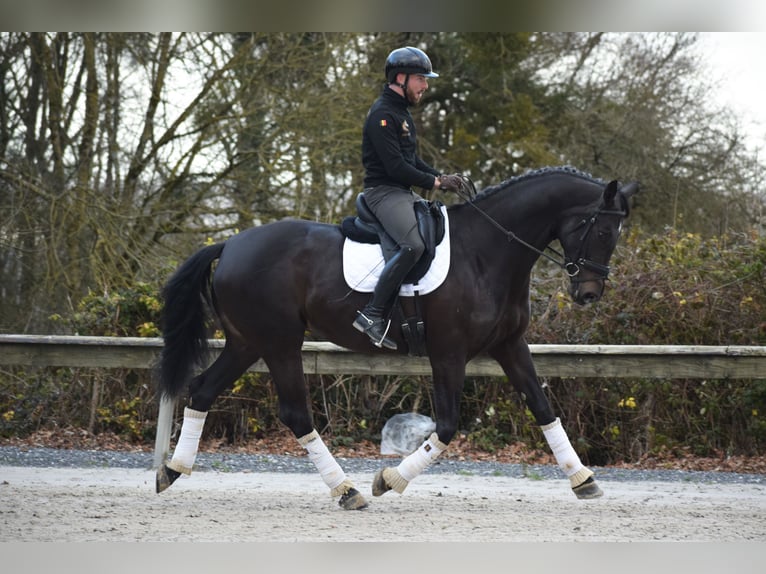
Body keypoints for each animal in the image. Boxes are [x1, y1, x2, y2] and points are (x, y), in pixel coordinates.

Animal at [153, 164, 640, 510]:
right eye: (601, 229)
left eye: (616, 233)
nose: (589, 294)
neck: (487, 252)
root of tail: (230, 244)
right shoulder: (449, 354)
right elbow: (447, 426)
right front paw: (388, 480)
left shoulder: (510, 346)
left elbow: (542, 408)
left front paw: (583, 479)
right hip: (279, 344)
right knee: (295, 414)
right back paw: (347, 490)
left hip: (247, 343)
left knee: (202, 390)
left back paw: (172, 470)